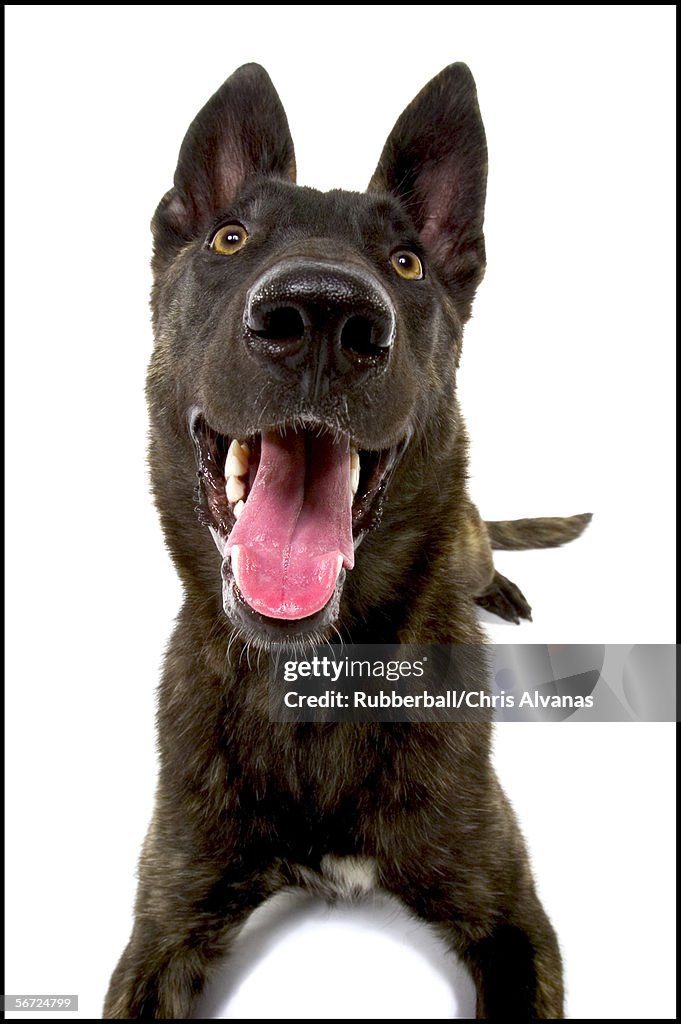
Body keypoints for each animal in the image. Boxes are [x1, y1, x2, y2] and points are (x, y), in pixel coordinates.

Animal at [103, 61, 585, 1015]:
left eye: (405, 262)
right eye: (228, 238)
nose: (322, 317)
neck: (316, 684)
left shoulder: (512, 915)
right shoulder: (162, 924)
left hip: (466, 541)